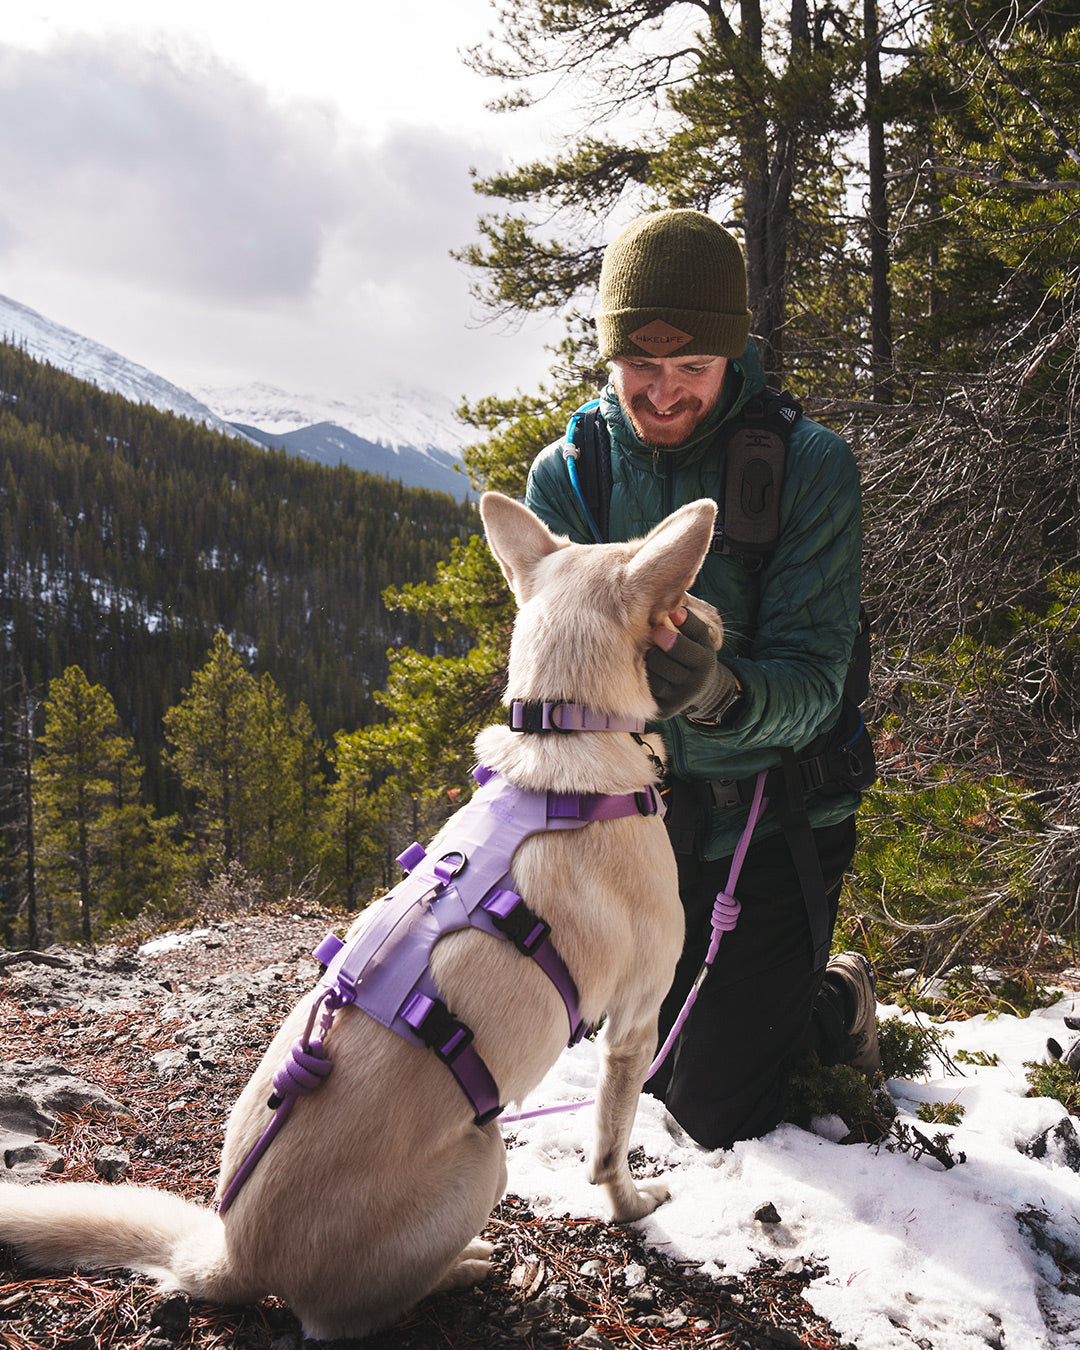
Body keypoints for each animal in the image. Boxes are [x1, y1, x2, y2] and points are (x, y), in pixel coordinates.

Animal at [2, 494, 723, 1339]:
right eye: (682, 599)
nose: (718, 625)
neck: (563, 731)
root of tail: (237, 1254)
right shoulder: (636, 1023)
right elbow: (612, 1148)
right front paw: (634, 1206)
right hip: (485, 1158)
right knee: (355, 1316)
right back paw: (464, 1267)